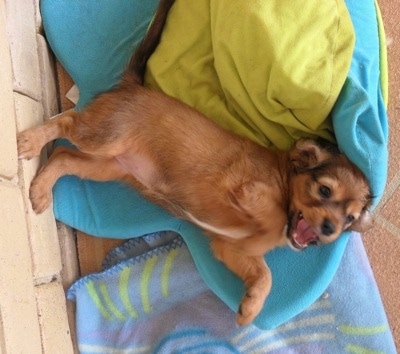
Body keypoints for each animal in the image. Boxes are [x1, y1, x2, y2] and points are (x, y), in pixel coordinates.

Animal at [16, 0, 372, 326]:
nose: (329, 230)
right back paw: (30, 143)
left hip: (106, 166)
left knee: (62, 156)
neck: (284, 180)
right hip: (104, 138)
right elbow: (269, 222)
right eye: (324, 191)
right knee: (65, 122)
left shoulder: (230, 249)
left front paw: (251, 306)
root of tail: (132, 87)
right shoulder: (245, 190)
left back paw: (41, 191)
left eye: (349, 218)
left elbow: (264, 274)